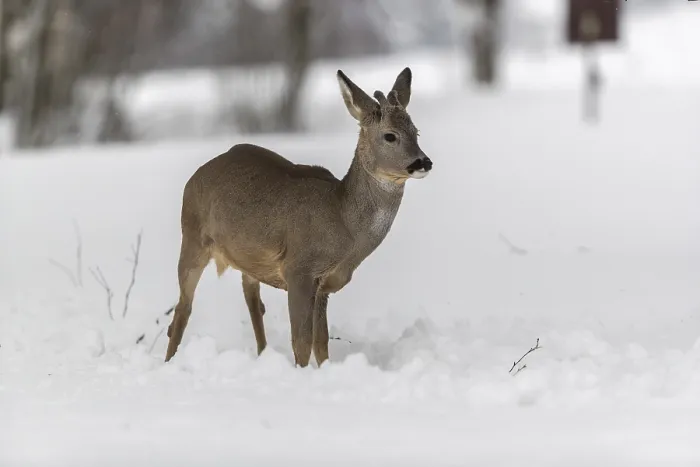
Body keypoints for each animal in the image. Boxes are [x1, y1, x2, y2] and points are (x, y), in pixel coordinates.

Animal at [164, 67, 433, 367]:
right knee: (182, 309)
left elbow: (321, 343)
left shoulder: (323, 285)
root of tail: (196, 175)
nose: (424, 162)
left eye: (416, 131)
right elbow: (301, 342)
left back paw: (263, 354)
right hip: (192, 235)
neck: (343, 220)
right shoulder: (299, 269)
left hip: (246, 255)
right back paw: (169, 362)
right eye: (390, 136)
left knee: (252, 299)